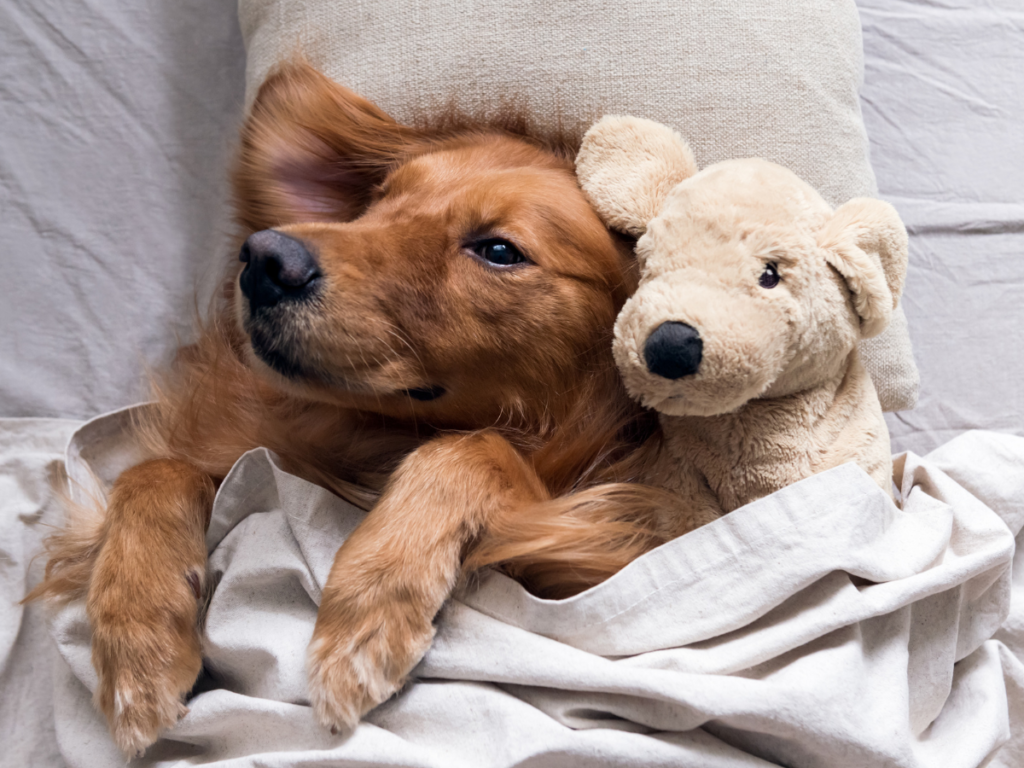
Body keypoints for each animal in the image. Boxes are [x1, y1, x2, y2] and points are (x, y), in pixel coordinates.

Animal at [29, 61, 671, 757]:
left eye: (500, 251)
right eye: (377, 204)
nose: (265, 258)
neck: (365, 440)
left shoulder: (585, 556)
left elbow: (470, 448)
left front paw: (368, 608)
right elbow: (152, 471)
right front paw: (136, 638)